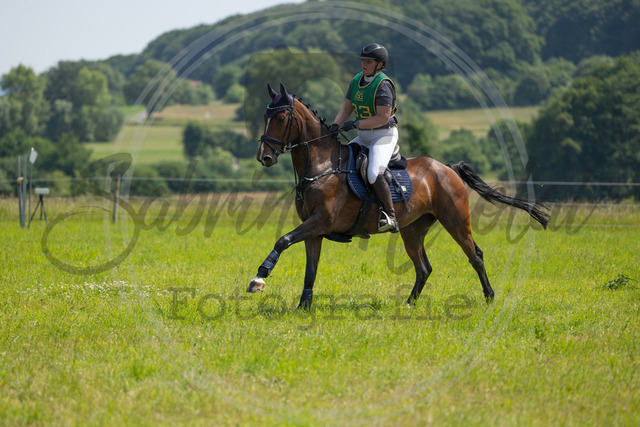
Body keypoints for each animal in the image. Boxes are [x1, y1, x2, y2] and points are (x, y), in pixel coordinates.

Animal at [247, 83, 550, 309]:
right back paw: (409, 304)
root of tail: (446, 168)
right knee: (424, 267)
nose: (264, 156)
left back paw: (489, 297)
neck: (322, 166)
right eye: (264, 117)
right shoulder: (314, 229)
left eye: (281, 118)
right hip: (412, 229)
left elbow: (283, 240)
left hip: (456, 221)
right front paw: (303, 306)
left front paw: (259, 277)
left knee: (474, 255)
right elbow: (310, 268)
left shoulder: (321, 221)